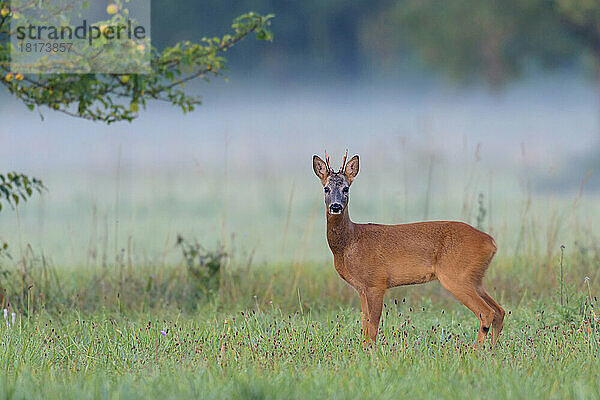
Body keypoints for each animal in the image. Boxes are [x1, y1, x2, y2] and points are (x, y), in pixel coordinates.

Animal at [312, 152, 504, 348]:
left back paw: (475, 351)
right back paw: (492, 350)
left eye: (346, 189)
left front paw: (372, 352)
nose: (336, 206)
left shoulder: (376, 283)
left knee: (487, 312)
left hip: (456, 276)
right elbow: (366, 325)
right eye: (326, 188)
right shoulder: (362, 288)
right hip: (475, 279)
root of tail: (491, 242)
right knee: (500, 311)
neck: (350, 242)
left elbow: (372, 327)